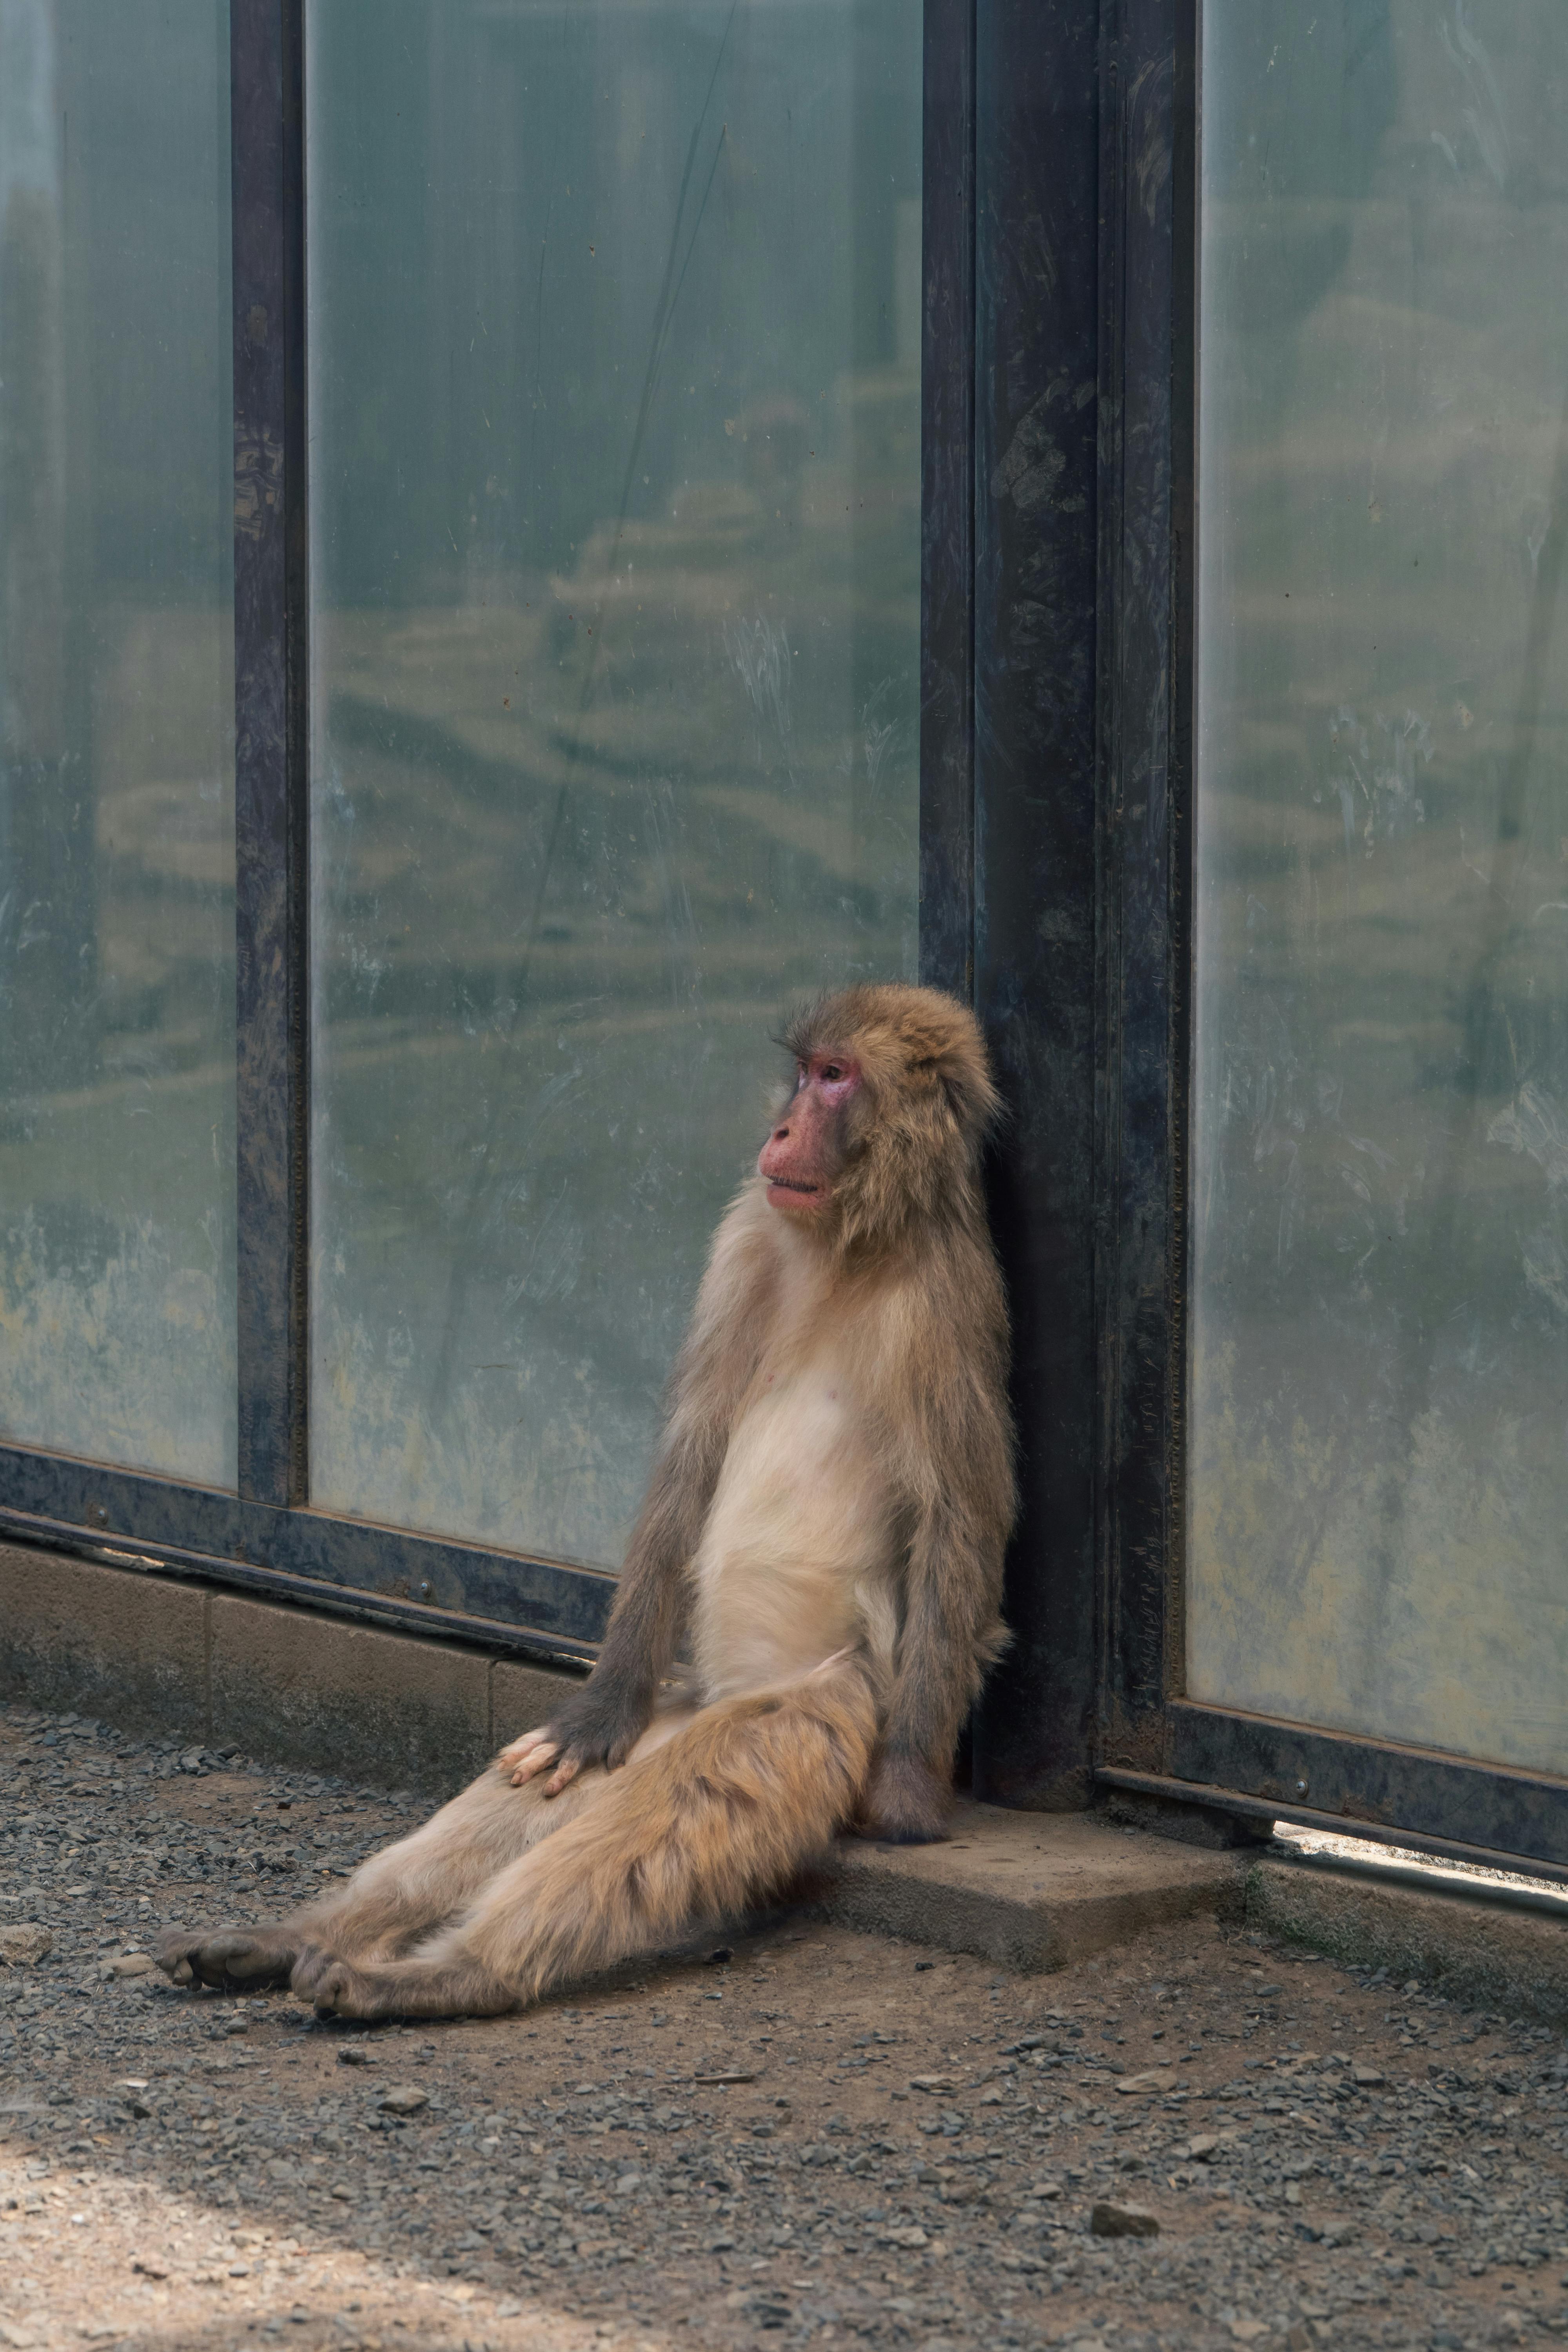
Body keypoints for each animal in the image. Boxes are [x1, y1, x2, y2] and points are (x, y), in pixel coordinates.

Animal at [156, 983, 1016, 2021]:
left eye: (835, 1078)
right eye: (807, 1072)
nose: (778, 1129)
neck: (850, 1252)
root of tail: (722, 1696)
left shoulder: (952, 1301)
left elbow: (955, 1524)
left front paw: (908, 1790)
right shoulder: (745, 1241)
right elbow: (690, 1457)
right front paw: (595, 1710)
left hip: (799, 1714)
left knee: (668, 1812)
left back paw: (448, 1975)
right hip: (668, 1705)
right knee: (547, 1785)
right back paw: (308, 1938)